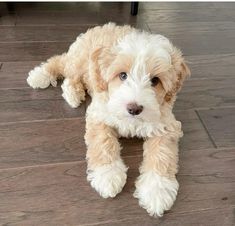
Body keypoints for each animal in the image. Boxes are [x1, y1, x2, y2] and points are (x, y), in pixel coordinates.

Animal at [26, 23, 190, 217]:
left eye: (155, 80)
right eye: (123, 75)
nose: (134, 109)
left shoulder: (165, 124)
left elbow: (162, 154)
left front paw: (157, 191)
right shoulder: (99, 114)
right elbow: (103, 142)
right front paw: (108, 176)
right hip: (80, 61)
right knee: (62, 65)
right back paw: (47, 80)